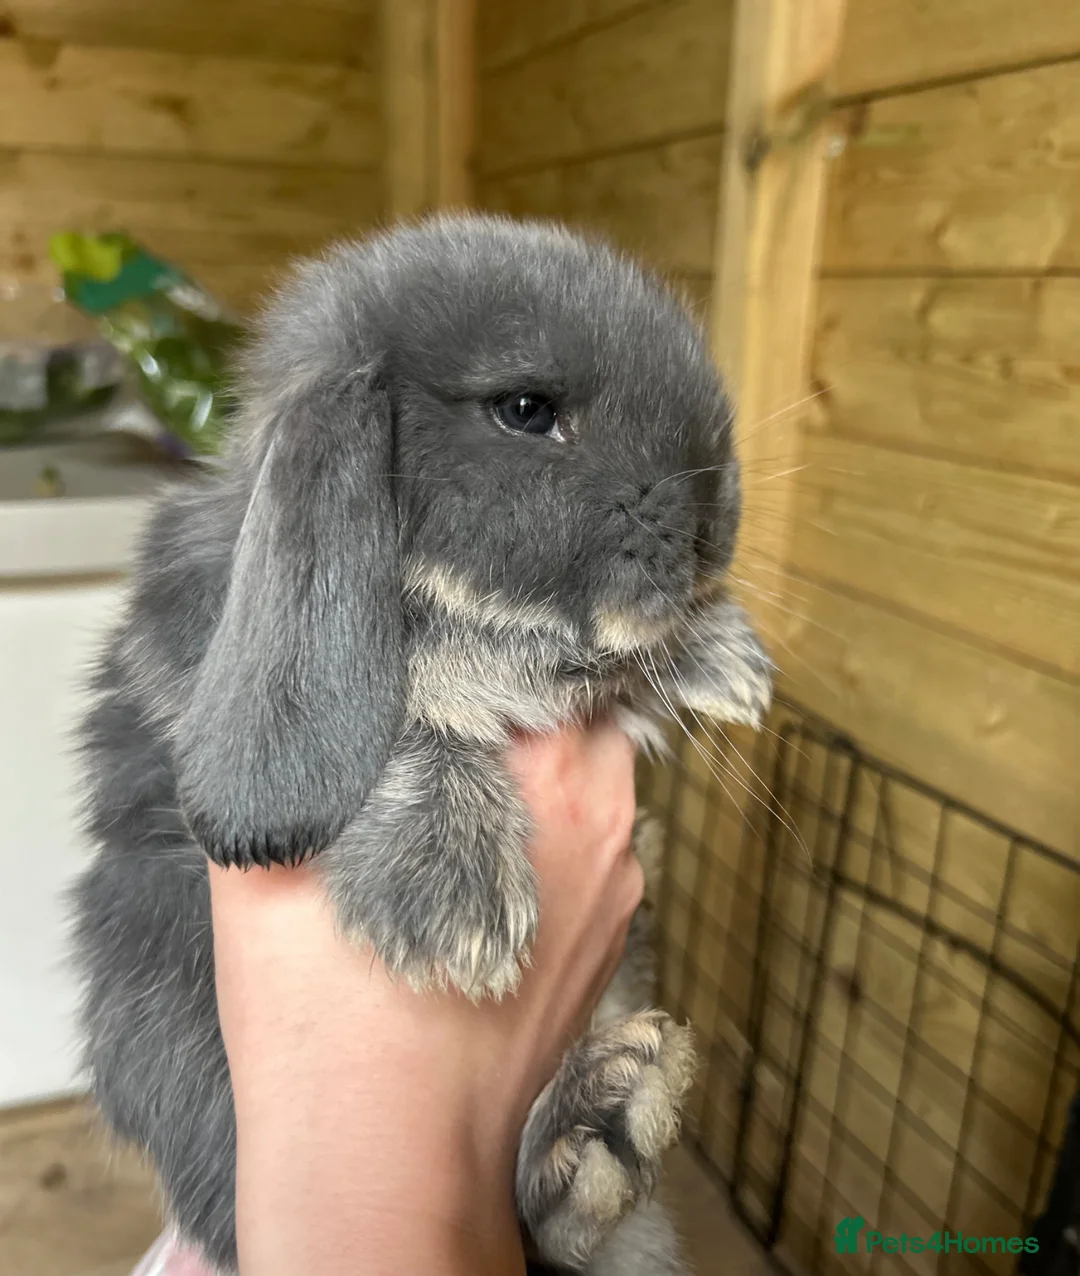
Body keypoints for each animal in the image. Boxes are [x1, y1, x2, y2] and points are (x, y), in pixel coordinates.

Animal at [72, 214, 773, 1275]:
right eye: (526, 409)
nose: (713, 530)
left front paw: (726, 659)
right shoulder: (191, 651)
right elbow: (406, 712)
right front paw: (455, 903)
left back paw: (609, 1116)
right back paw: (595, 1127)